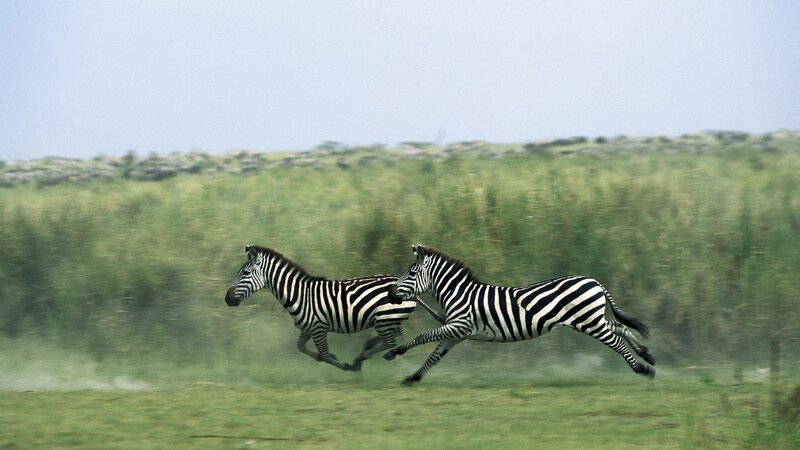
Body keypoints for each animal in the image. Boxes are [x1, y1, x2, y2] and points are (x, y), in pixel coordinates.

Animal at [224, 245, 445, 371]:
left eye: (245, 273)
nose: (227, 299)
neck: (299, 294)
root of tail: (413, 292)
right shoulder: (308, 327)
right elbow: (301, 347)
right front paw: (330, 359)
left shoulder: (318, 327)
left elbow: (324, 354)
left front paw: (344, 365)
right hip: (387, 319)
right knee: (392, 337)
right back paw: (363, 353)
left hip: (385, 318)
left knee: (391, 342)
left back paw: (359, 360)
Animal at [383, 245, 655, 384]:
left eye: (410, 273)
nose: (392, 293)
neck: (459, 294)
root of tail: (594, 281)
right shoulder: (455, 333)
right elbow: (434, 356)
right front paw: (413, 377)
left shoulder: (459, 326)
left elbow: (423, 337)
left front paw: (394, 352)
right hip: (591, 319)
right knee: (619, 328)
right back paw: (646, 354)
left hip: (589, 321)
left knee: (617, 341)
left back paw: (642, 369)